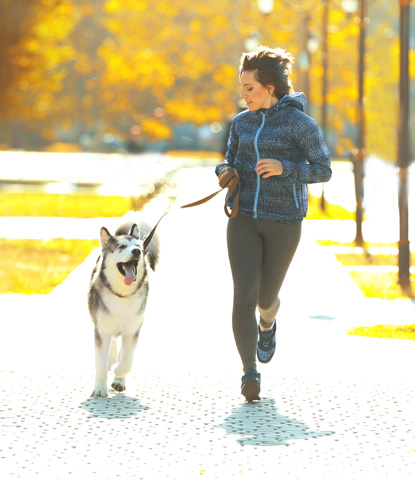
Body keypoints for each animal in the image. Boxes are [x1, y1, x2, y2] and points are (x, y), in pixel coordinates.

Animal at [88, 218, 159, 398]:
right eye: (121, 247)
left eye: (138, 246)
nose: (137, 252)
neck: (121, 295)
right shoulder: (101, 330)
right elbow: (100, 364)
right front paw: (100, 388)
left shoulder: (132, 331)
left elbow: (127, 362)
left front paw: (118, 374)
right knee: (112, 345)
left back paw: (118, 378)